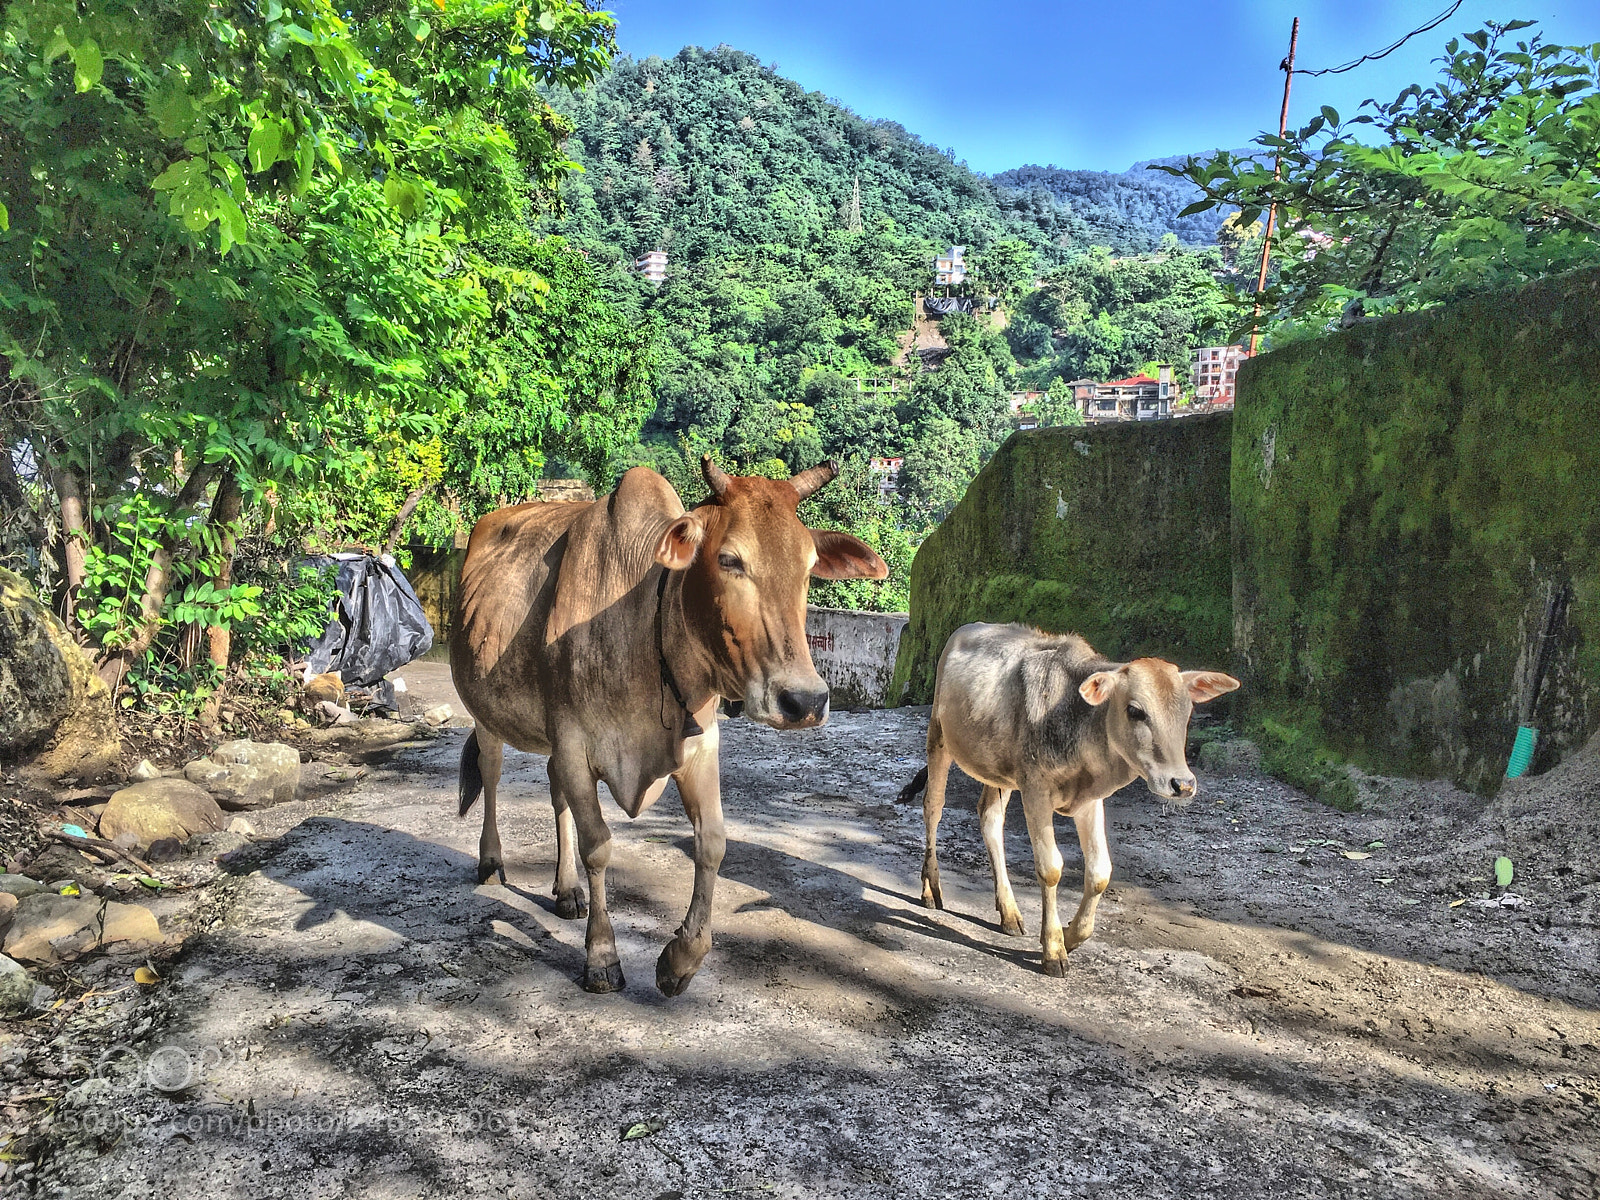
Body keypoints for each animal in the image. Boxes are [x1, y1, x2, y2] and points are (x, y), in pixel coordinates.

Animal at [449, 458, 887, 996]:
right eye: (729, 559)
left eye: (808, 567)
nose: (804, 700)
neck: (646, 627)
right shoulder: (574, 744)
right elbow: (599, 846)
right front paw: (602, 956)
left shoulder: (698, 748)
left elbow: (713, 843)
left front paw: (680, 960)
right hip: (485, 712)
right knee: (491, 773)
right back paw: (492, 862)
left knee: (555, 793)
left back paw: (567, 890)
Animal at [902, 623, 1239, 975]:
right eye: (1135, 711)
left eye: (1187, 711)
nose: (1182, 784)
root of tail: (972, 627)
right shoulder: (1035, 790)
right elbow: (1050, 868)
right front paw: (1053, 949)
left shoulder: (1089, 801)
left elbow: (1100, 872)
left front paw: (1070, 935)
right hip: (939, 736)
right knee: (933, 807)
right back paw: (930, 888)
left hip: (998, 771)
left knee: (990, 818)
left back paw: (1009, 912)